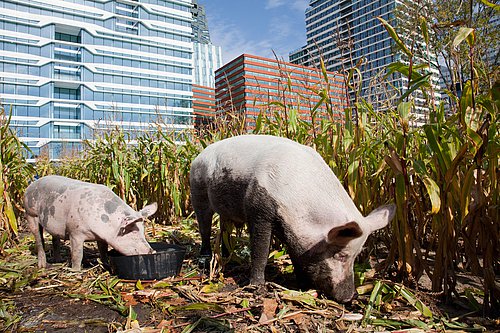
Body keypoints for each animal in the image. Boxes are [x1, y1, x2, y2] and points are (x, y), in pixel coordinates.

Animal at [23, 175, 156, 268]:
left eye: (143, 231)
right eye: (132, 232)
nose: (152, 251)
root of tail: (31, 185)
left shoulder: (102, 237)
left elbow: (103, 251)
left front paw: (106, 264)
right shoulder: (75, 232)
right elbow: (77, 255)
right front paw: (76, 271)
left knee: (55, 238)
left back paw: (58, 260)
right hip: (30, 213)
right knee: (39, 239)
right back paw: (43, 266)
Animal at [189, 134, 396, 300]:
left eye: (356, 256)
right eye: (341, 255)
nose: (349, 297)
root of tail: (199, 155)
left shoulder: (289, 224)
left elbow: (296, 252)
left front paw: (302, 286)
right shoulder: (259, 208)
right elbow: (260, 249)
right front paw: (257, 287)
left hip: (224, 210)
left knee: (225, 228)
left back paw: (227, 256)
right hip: (197, 190)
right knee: (204, 226)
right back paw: (205, 259)